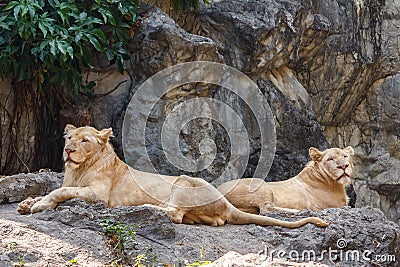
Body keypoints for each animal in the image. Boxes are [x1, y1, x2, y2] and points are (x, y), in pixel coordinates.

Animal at [17, 125, 326, 228]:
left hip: (181, 181)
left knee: (174, 214)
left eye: (85, 141)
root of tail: (227, 203)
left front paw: (39, 205)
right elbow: (52, 189)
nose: (68, 150)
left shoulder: (98, 195)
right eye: (69, 138)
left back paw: (145, 207)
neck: (78, 168)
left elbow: (59, 192)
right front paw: (26, 202)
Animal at [219, 146, 354, 215]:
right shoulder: (337, 205)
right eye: (330, 159)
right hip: (261, 184)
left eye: (345, 156)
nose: (344, 166)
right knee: (266, 209)